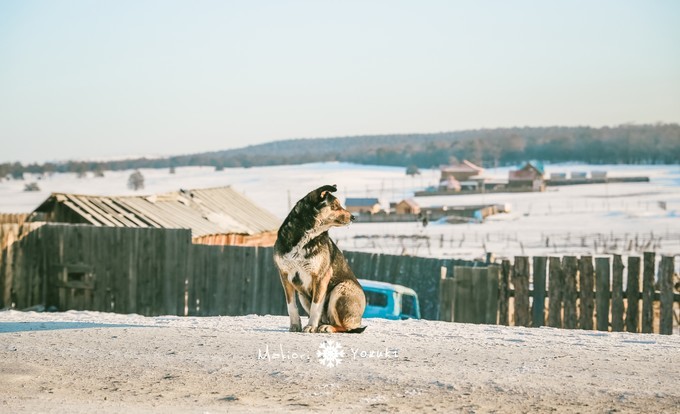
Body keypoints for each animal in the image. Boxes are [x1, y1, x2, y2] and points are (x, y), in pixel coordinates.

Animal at [273, 184, 366, 333]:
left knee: (344, 327)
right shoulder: (284, 275)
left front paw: (311, 326)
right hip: (303, 296)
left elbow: (316, 306)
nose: (353, 217)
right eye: (334, 206)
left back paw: (327, 327)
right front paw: (295, 325)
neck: (305, 236)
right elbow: (291, 305)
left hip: (340, 289)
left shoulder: (321, 276)